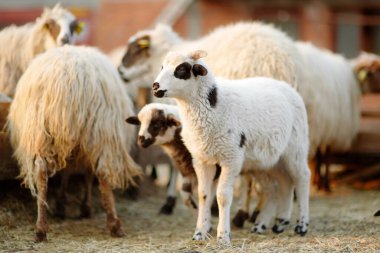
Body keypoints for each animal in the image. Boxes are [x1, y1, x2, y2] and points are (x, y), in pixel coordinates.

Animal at [7, 45, 141, 243]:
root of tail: (70, 79)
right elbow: (82, 173)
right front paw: (80, 206)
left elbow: (70, 171)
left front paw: (65, 204)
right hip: (101, 131)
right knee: (101, 172)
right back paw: (114, 224)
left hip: (42, 130)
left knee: (41, 171)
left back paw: (40, 228)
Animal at [153, 50, 310, 245]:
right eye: (162, 66)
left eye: (181, 69)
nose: (155, 86)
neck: (213, 105)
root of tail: (288, 87)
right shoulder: (202, 159)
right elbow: (203, 195)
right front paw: (200, 233)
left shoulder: (231, 157)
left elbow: (222, 196)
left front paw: (223, 236)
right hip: (270, 159)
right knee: (283, 183)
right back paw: (275, 224)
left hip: (296, 147)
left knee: (302, 178)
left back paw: (301, 226)